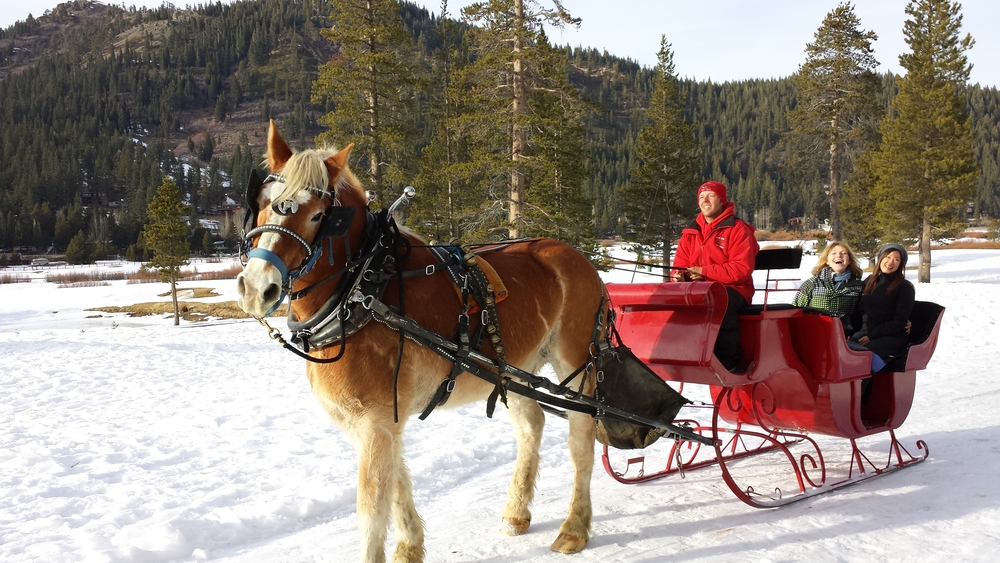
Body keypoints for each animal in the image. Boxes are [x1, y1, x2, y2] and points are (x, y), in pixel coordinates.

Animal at [238, 121, 604, 560]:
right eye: (261, 203)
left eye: (318, 216)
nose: (257, 288)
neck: (363, 290)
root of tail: (578, 257)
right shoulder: (379, 421)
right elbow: (397, 483)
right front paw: (410, 546)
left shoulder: (376, 421)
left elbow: (371, 509)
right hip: (516, 369)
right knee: (531, 425)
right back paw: (517, 513)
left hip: (575, 361)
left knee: (582, 437)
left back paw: (574, 527)